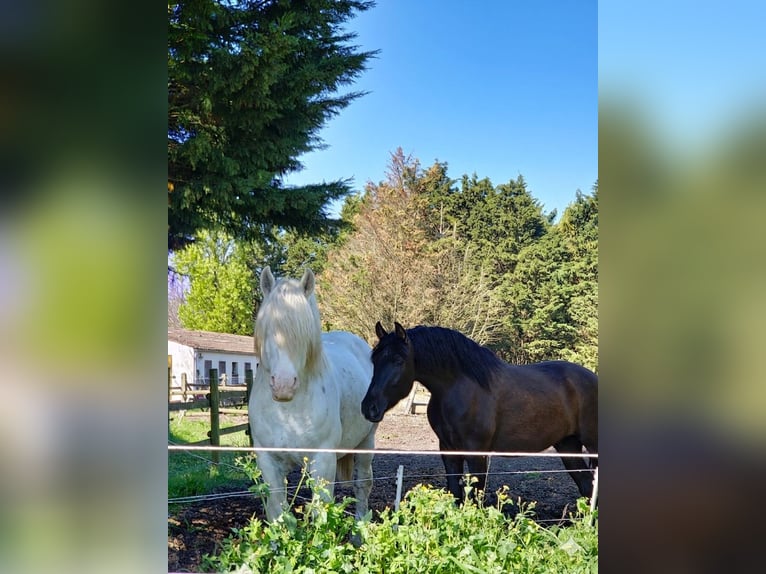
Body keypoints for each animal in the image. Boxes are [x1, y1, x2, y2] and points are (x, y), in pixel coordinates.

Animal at [249, 266, 377, 521]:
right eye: (268, 329)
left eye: (302, 334)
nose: (283, 385)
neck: (287, 413)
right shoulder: (268, 461)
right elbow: (278, 510)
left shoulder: (322, 460)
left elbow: (321, 515)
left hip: (367, 441)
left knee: (362, 485)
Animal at [361, 322, 598, 501]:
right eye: (375, 359)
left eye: (398, 360)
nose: (369, 407)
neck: (459, 387)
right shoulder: (448, 451)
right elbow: (456, 494)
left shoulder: (477, 453)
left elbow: (475, 497)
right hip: (567, 444)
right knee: (587, 485)